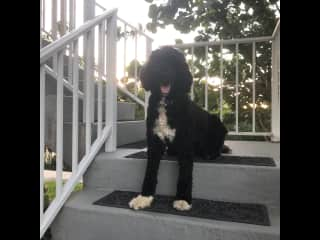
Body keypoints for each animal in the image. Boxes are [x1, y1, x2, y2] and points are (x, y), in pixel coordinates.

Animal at [129, 46, 229, 211]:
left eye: (174, 63)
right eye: (157, 62)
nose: (164, 73)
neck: (167, 103)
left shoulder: (185, 144)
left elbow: (185, 173)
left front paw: (183, 199)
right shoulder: (154, 142)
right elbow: (150, 171)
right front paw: (144, 197)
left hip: (217, 123)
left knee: (217, 147)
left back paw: (211, 153)